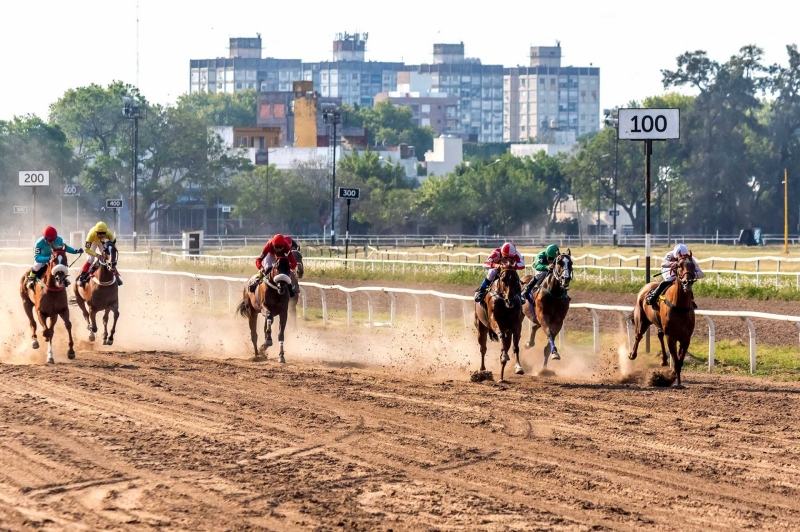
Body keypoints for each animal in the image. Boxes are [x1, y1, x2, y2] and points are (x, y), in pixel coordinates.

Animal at [628, 251, 696, 384]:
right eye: (679, 265)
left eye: (693, 265)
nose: (687, 282)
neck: (680, 306)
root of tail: (645, 286)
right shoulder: (671, 336)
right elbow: (676, 360)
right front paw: (676, 381)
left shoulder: (686, 338)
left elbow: (680, 360)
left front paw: (674, 376)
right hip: (642, 321)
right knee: (638, 336)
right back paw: (632, 355)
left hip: (658, 322)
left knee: (659, 335)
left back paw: (664, 360)